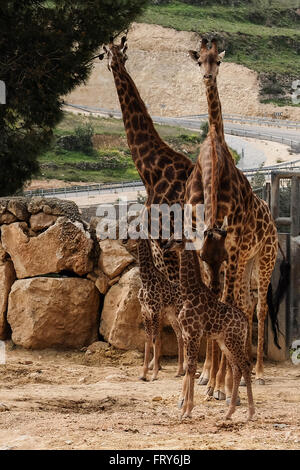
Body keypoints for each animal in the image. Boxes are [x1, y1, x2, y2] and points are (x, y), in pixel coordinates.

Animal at [163, 239, 254, 422]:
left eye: (178, 240)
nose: (165, 247)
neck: (189, 293)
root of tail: (245, 322)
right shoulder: (187, 335)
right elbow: (190, 367)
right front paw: (185, 409)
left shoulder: (194, 334)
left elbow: (191, 368)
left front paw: (187, 410)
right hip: (225, 343)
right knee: (237, 369)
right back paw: (229, 413)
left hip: (234, 341)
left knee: (246, 366)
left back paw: (250, 413)